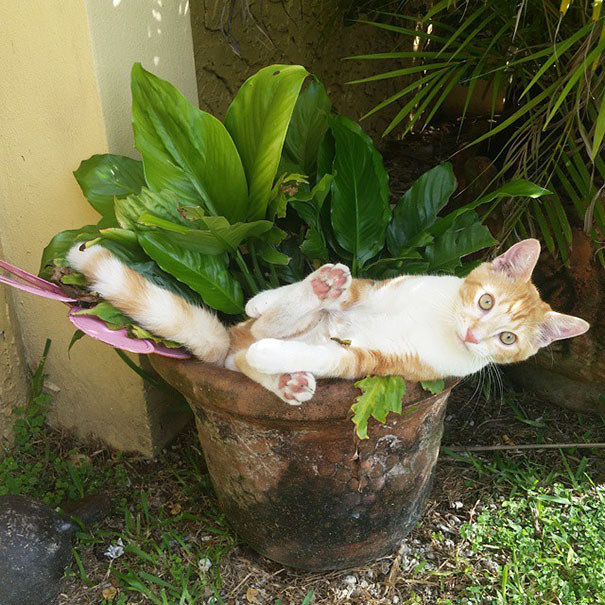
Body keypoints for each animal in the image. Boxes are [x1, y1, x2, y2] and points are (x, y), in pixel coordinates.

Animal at [67, 238, 588, 404]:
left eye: (507, 338)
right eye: (484, 301)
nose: (474, 333)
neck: (439, 322)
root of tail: (229, 341)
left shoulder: (377, 362)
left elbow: (333, 359)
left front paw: (280, 359)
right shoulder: (378, 289)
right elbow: (356, 287)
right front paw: (260, 297)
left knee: (250, 356)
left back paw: (286, 379)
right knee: (265, 327)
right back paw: (312, 291)